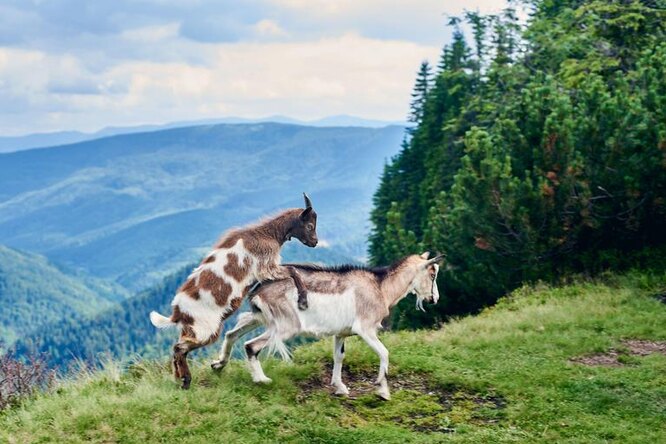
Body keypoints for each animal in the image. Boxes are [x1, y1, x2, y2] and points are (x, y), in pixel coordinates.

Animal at [148, 194, 320, 388]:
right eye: (310, 225)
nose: (315, 242)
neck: (267, 234)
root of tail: (177, 312)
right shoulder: (266, 266)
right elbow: (292, 270)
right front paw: (303, 300)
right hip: (206, 329)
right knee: (179, 348)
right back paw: (186, 380)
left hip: (192, 329)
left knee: (178, 348)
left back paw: (179, 377)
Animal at [210, 251, 444, 400]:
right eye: (432, 273)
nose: (434, 299)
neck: (380, 287)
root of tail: (259, 288)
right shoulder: (365, 328)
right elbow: (384, 353)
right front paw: (383, 391)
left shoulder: (341, 333)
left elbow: (339, 356)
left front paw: (340, 388)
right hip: (286, 326)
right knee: (251, 345)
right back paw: (261, 379)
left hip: (260, 318)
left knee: (232, 332)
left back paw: (218, 364)